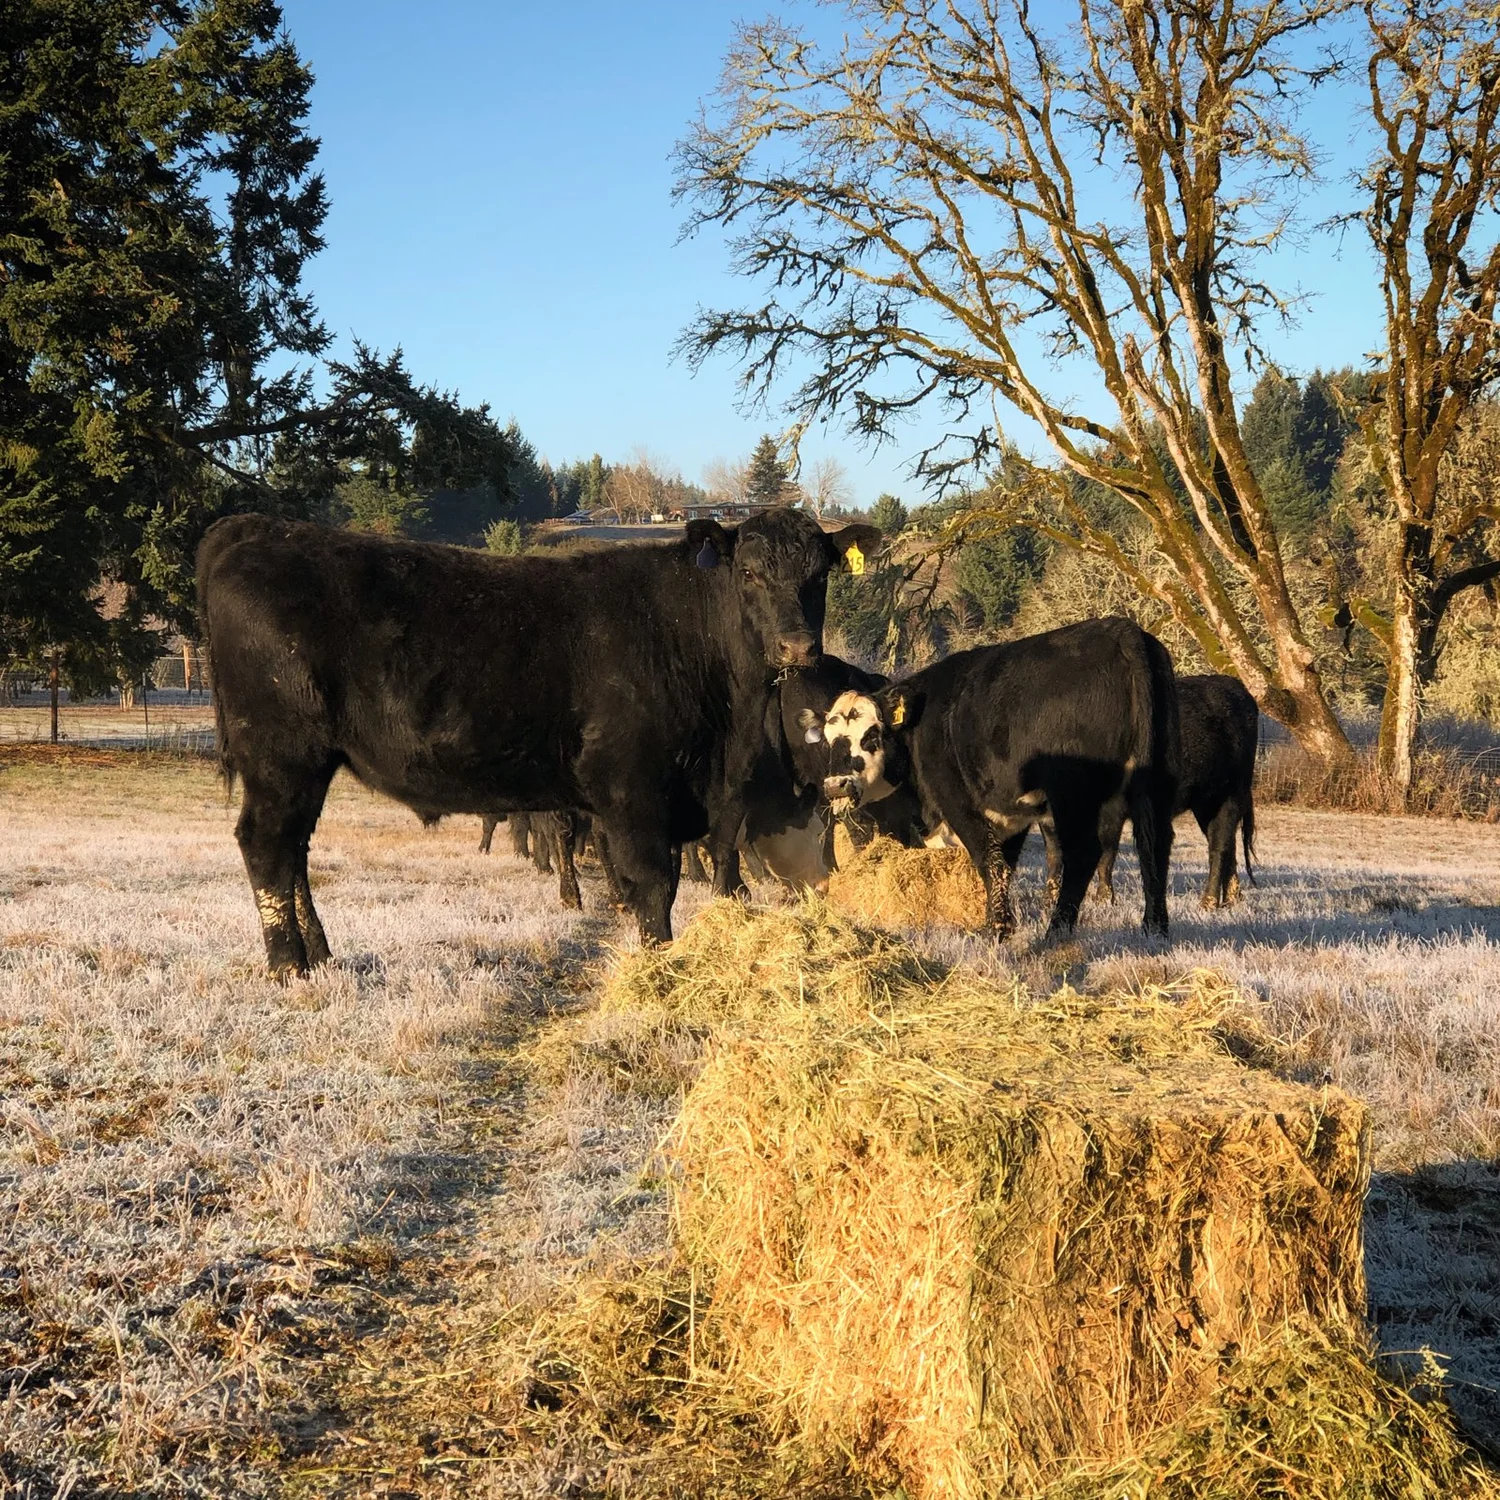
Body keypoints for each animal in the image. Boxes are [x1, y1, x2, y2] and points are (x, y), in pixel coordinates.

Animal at [198, 509, 879, 979]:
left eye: (819, 576)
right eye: (749, 572)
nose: (797, 646)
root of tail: (259, 530)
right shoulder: (631, 787)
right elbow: (652, 883)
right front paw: (658, 969)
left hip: (305, 764)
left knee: (295, 851)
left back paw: (320, 956)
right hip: (281, 754)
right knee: (266, 845)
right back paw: (288, 966)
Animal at [814, 618, 1179, 937]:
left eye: (871, 735)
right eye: (829, 740)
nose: (834, 786)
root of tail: (1120, 630)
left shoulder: (957, 800)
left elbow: (988, 859)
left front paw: (997, 929)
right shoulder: (1009, 815)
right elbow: (1004, 864)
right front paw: (995, 919)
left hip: (1074, 795)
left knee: (1083, 852)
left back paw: (1056, 931)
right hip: (1155, 785)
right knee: (1155, 845)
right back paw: (1155, 929)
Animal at [1040, 672, 1258, 908]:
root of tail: (1231, 683)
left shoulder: (1112, 808)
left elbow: (1106, 852)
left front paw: (1104, 898)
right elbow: (1054, 854)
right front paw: (1049, 898)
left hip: (1230, 794)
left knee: (1219, 846)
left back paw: (1208, 902)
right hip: (1206, 803)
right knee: (1228, 845)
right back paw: (1232, 898)